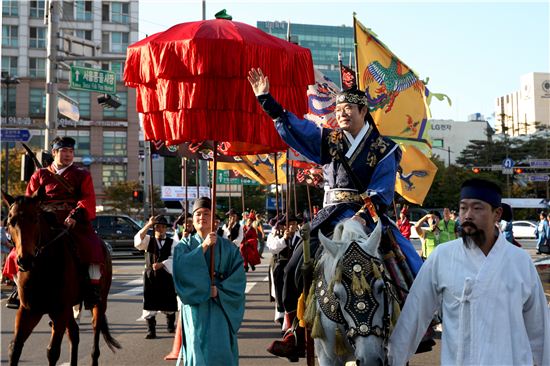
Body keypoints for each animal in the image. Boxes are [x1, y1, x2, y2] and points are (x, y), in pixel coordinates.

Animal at [3, 192, 121, 366]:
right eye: (12, 222)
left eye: (35, 219)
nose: (25, 260)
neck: (42, 269)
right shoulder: (28, 310)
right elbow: (15, 348)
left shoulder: (59, 311)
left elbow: (52, 352)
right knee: (74, 333)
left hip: (99, 302)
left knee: (95, 330)